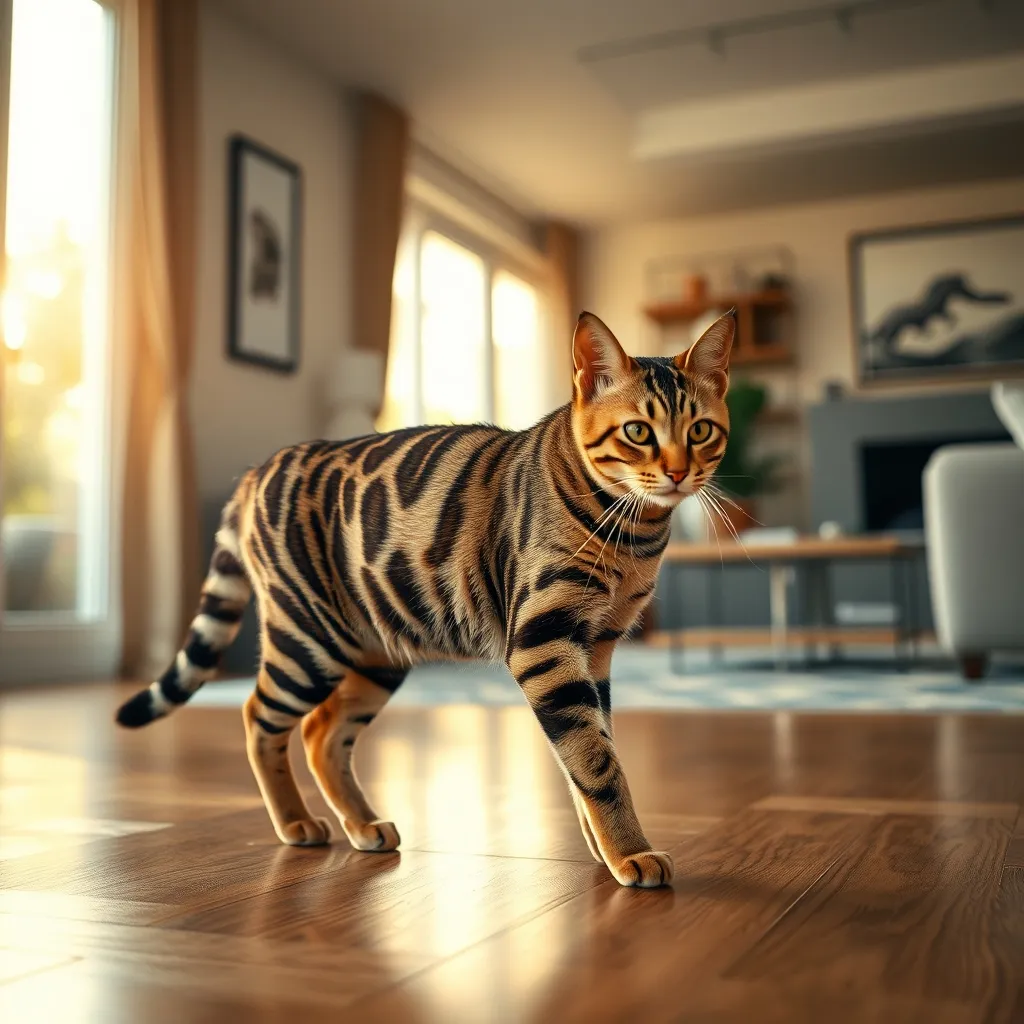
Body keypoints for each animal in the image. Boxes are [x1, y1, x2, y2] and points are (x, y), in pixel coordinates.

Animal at [116, 309, 733, 888]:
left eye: (701, 430)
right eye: (638, 432)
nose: (679, 472)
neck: (632, 533)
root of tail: (257, 469)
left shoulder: (597, 647)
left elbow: (589, 749)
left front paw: (604, 847)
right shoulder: (545, 642)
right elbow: (596, 760)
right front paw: (629, 853)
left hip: (377, 649)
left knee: (321, 733)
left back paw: (363, 825)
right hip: (308, 641)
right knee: (258, 716)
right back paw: (294, 822)